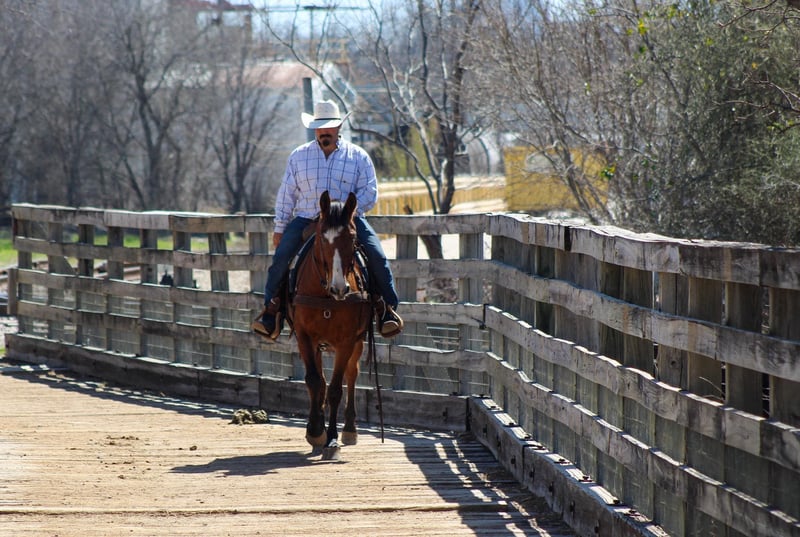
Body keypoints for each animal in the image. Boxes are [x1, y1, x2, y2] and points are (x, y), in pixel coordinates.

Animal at [286, 190, 373, 460]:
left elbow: (336, 389)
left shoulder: (346, 341)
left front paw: (332, 439)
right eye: (323, 239)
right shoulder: (304, 337)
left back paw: (350, 430)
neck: (326, 296)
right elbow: (315, 382)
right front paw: (315, 432)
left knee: (351, 374)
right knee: (320, 382)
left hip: (357, 343)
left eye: (352, 237)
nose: (339, 288)